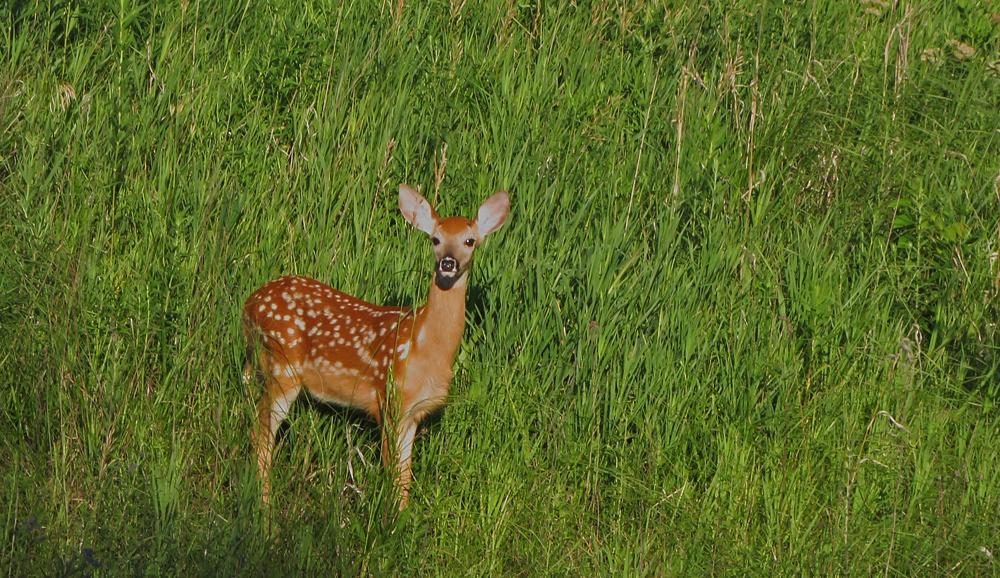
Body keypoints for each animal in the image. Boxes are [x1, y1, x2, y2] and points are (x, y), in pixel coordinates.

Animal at [242, 184, 510, 509]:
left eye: (469, 241)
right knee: (260, 434)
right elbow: (391, 471)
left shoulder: (413, 413)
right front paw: (388, 518)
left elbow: (404, 476)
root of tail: (249, 304)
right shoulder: (389, 399)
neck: (424, 346)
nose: (448, 263)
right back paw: (265, 507)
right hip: (282, 366)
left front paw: (403, 517)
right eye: (435, 239)